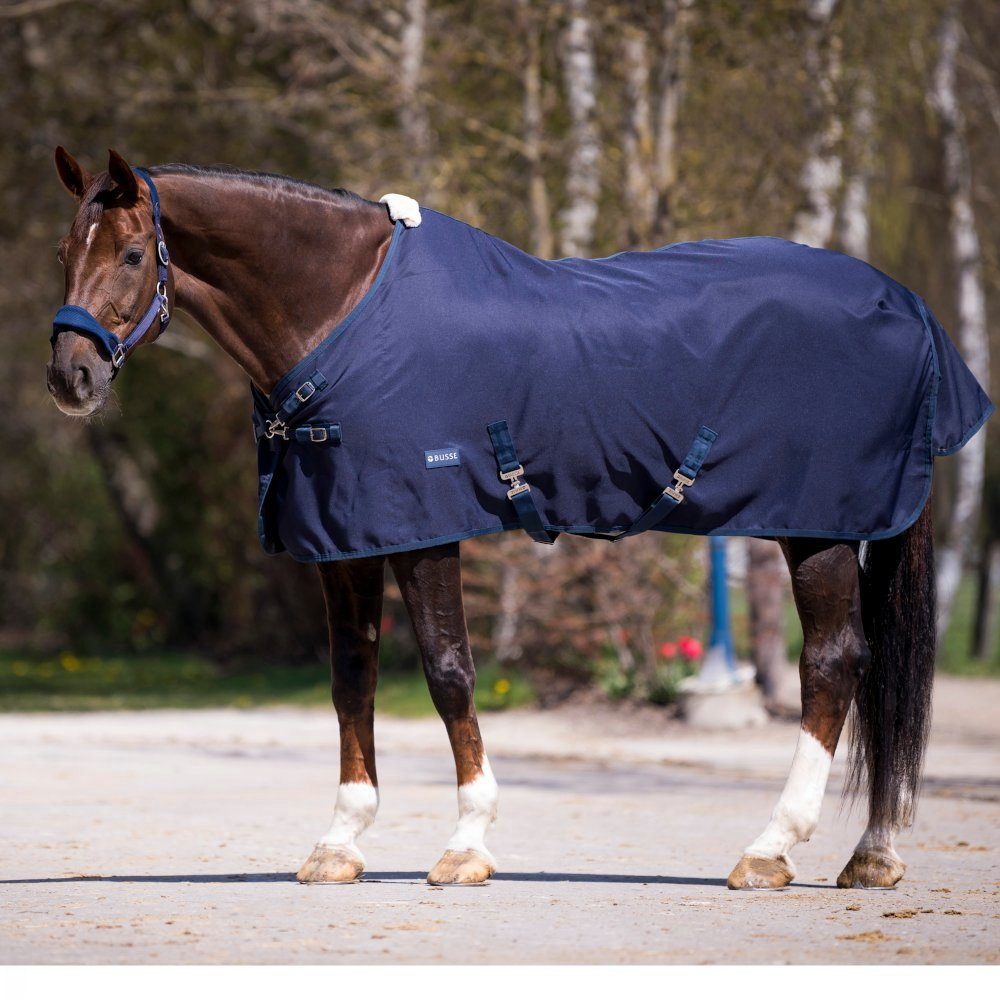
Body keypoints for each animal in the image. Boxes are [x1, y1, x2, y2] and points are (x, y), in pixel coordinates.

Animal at [45, 147, 974, 891]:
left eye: (132, 252)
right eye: (63, 252)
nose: (70, 377)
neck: (343, 313)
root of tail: (907, 306)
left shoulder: (425, 533)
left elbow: (449, 673)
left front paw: (466, 845)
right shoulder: (346, 539)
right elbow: (352, 680)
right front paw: (340, 843)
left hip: (817, 530)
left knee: (834, 664)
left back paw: (771, 849)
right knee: (869, 669)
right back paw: (873, 853)